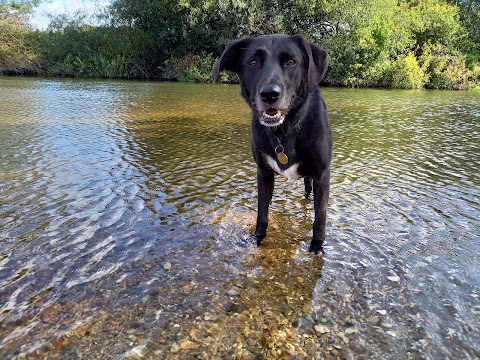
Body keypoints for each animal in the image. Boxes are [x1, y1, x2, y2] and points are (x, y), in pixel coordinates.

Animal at [216, 33, 332, 253]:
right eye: (253, 62)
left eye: (291, 61)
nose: (270, 94)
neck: (284, 131)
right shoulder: (264, 173)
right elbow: (262, 212)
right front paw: (257, 238)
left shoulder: (322, 175)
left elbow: (320, 218)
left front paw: (317, 246)